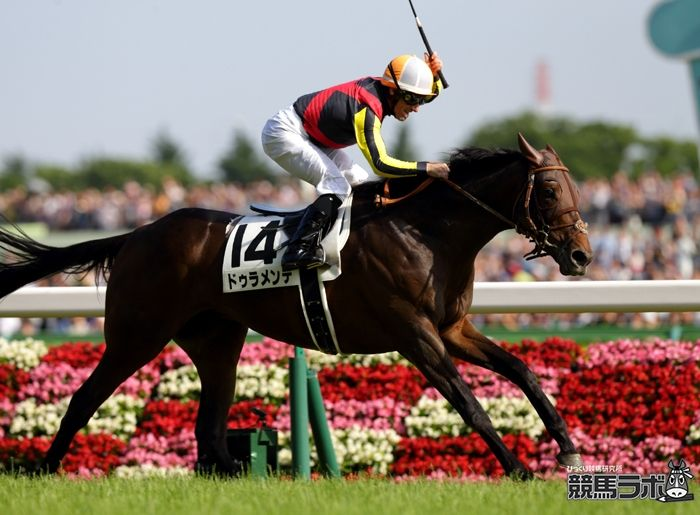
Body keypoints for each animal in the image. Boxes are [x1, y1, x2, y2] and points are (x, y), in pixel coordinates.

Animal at [0, 133, 592, 478]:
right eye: (547, 193)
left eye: (574, 191)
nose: (581, 254)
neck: (427, 231)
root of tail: (136, 234)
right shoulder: (416, 335)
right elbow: (469, 404)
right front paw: (518, 468)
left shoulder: (452, 329)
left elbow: (521, 370)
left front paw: (566, 447)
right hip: (136, 334)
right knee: (84, 398)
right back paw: (43, 469)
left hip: (217, 341)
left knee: (210, 427)